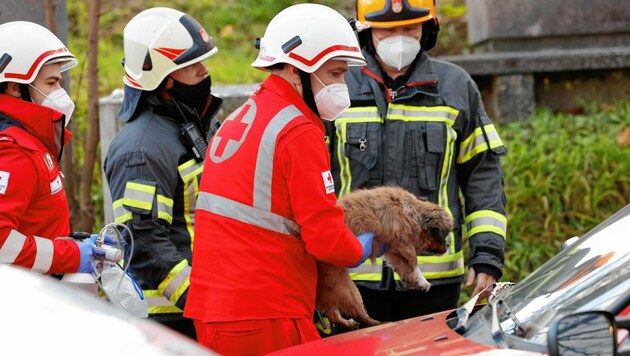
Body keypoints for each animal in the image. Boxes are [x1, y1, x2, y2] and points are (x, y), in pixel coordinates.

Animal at [318, 185, 452, 330]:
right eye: (443, 236)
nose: (448, 245)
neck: (413, 214)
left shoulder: (393, 249)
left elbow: (404, 267)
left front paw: (415, 282)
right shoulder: (403, 244)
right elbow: (413, 263)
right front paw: (421, 281)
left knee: (333, 315)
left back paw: (350, 323)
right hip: (345, 286)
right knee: (358, 313)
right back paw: (379, 323)